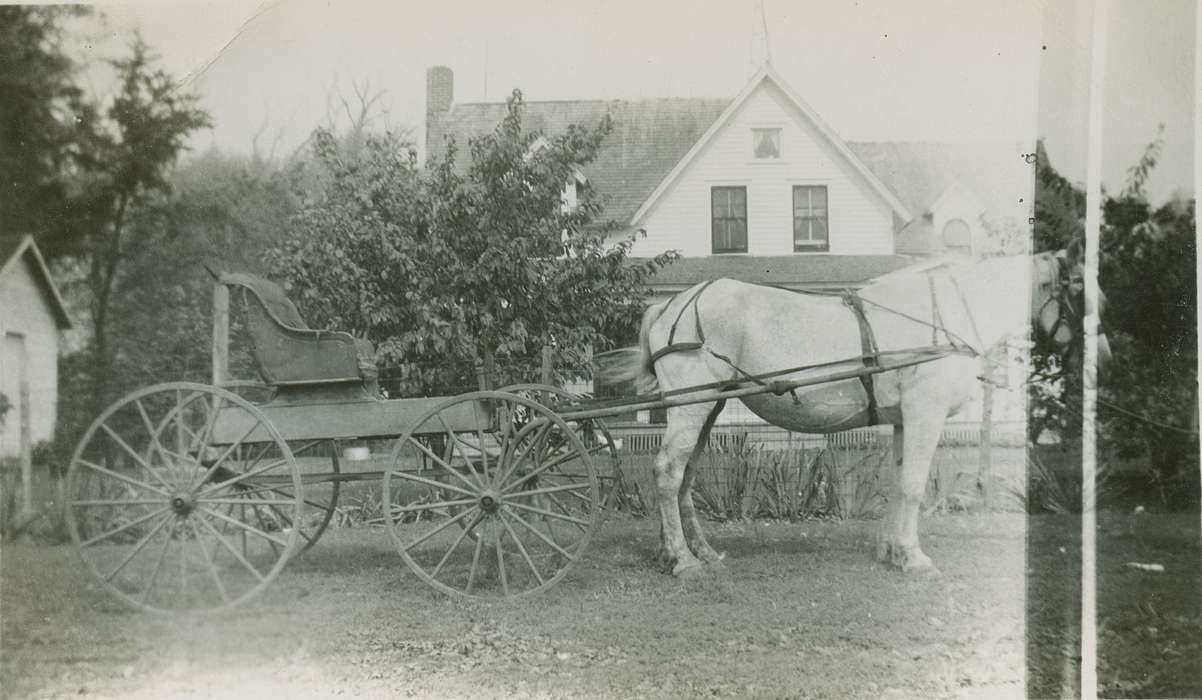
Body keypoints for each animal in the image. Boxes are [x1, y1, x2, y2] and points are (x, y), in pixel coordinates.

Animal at [605, 250, 1110, 579]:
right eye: (1083, 291)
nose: (1104, 358)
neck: (943, 317)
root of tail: (672, 303)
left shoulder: (905, 418)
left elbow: (899, 482)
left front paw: (892, 551)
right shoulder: (925, 414)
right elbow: (913, 485)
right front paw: (913, 556)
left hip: (706, 405)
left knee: (685, 474)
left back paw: (696, 552)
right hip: (692, 404)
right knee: (667, 471)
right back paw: (681, 558)